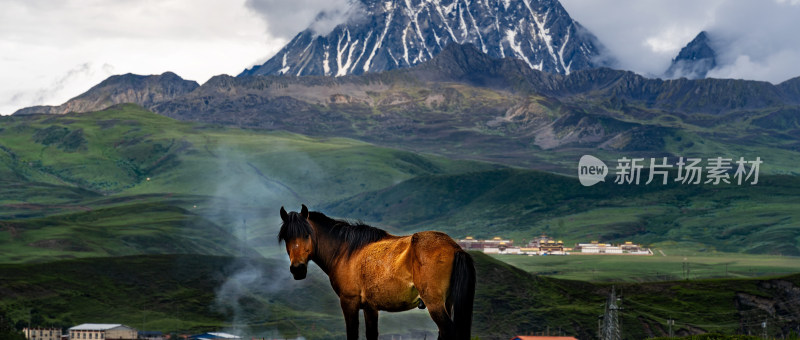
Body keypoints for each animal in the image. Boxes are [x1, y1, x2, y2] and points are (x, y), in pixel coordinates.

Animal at [278, 205, 476, 340]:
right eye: (287, 237)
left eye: (307, 234)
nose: (297, 269)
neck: (346, 251)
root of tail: (455, 247)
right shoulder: (370, 307)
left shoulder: (349, 302)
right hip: (447, 303)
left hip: (435, 304)